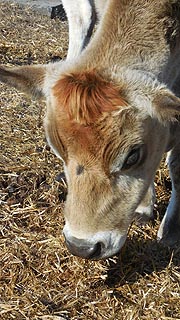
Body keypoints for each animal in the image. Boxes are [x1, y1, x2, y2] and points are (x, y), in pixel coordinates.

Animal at [0, 0, 180, 260]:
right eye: (57, 149)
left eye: (132, 156)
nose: (81, 246)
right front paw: (146, 206)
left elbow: (175, 163)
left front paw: (171, 231)